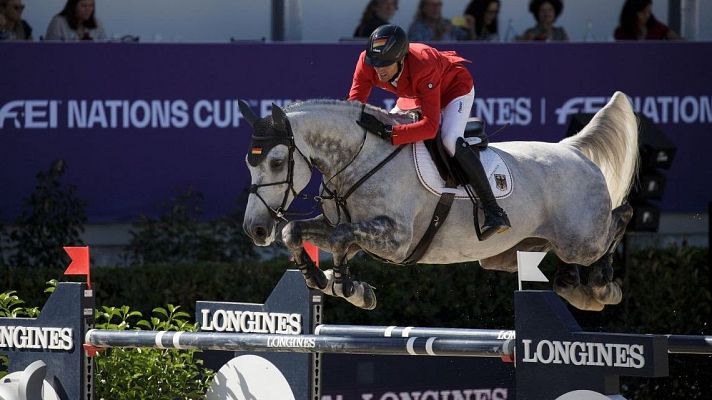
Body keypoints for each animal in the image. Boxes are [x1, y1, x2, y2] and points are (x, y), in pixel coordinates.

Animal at [239, 93, 640, 312]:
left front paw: (345, 285)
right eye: (249, 161)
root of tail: (573, 151)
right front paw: (325, 280)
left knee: (621, 217)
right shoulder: (353, 232)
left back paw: (603, 287)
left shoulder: (395, 239)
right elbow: (295, 231)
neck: (361, 158)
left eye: (277, 161)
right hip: (511, 252)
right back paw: (574, 287)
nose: (255, 229)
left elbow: (339, 240)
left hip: (581, 240)